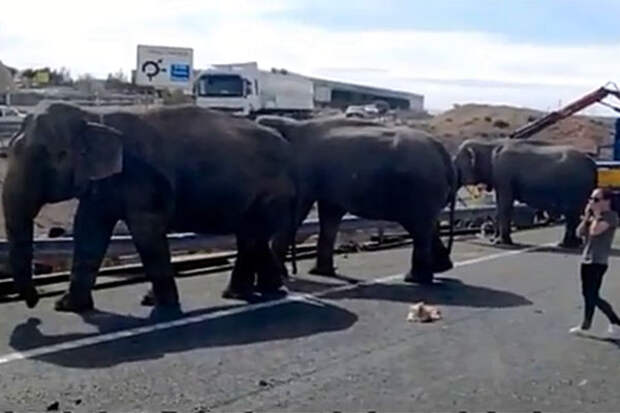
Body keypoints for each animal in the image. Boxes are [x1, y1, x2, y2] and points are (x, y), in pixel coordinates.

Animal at [3, 103, 296, 312]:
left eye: (54, 156)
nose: (33, 302)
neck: (94, 117)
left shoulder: (140, 177)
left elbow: (146, 231)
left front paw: (161, 304)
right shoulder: (105, 183)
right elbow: (88, 230)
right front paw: (67, 306)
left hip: (271, 193)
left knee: (252, 236)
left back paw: (245, 292)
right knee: (252, 237)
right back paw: (266, 290)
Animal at [256, 115, 456, 284]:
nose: (293, 272)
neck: (290, 125)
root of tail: (443, 152)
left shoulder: (304, 174)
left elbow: (298, 213)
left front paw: (283, 274)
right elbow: (330, 214)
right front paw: (321, 273)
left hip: (420, 189)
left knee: (419, 228)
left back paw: (414, 278)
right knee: (424, 227)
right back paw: (441, 268)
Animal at [452, 138, 600, 248]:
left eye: (455, 163)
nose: (487, 237)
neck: (489, 144)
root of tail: (593, 164)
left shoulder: (504, 174)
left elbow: (505, 204)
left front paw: (501, 242)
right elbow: (500, 205)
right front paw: (495, 240)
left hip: (576, 187)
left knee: (571, 214)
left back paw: (565, 244)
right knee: (573, 215)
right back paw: (572, 244)